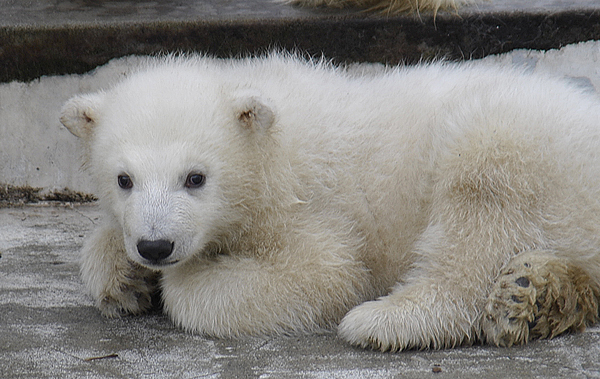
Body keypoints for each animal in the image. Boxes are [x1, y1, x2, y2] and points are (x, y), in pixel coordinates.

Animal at [62, 52, 600, 352]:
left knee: (479, 201)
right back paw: (534, 293)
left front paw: (177, 280)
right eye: (124, 179)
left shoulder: (309, 203)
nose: (155, 246)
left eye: (195, 178)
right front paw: (124, 279)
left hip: (524, 140)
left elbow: (326, 273)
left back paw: (388, 320)